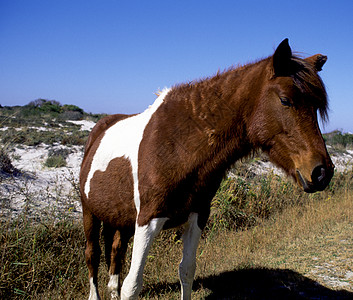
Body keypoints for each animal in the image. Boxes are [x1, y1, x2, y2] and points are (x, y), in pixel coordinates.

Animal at [79, 38, 332, 298]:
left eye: (316, 106)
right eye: (285, 100)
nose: (322, 172)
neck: (177, 145)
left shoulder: (197, 216)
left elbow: (187, 271)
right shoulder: (147, 220)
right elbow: (133, 284)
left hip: (121, 219)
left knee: (116, 251)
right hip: (89, 212)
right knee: (92, 255)